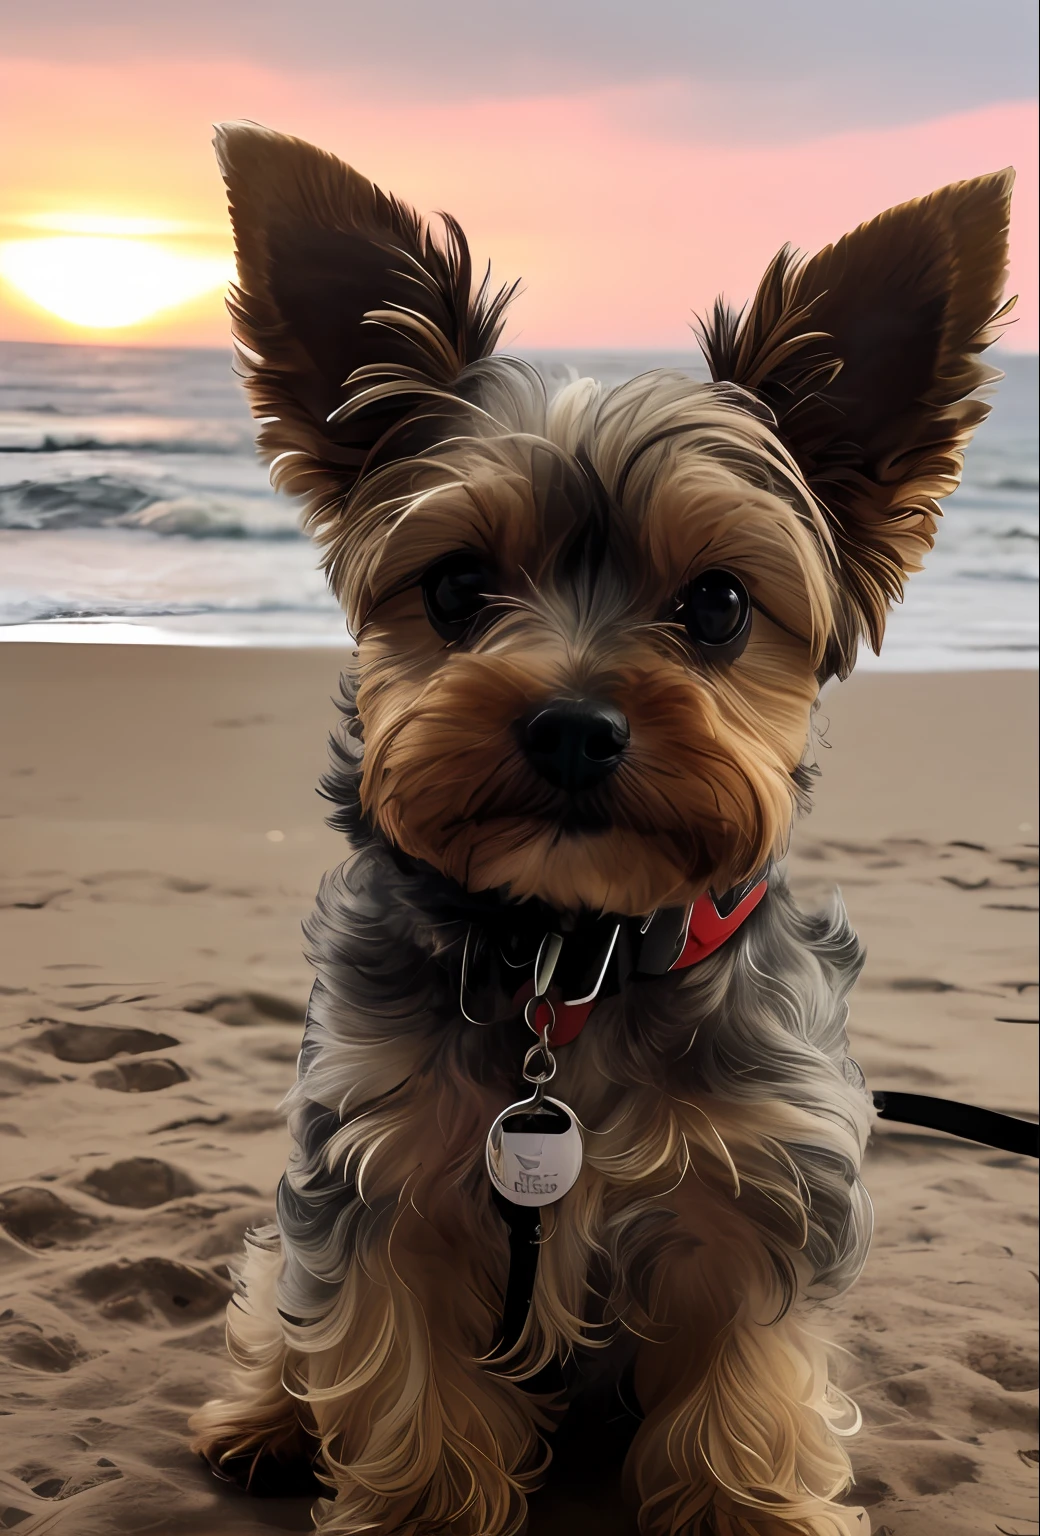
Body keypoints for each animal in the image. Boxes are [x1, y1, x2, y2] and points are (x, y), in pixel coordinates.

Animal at [190, 122, 1007, 1536]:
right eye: (457, 585)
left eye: (719, 604)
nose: (572, 727)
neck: (570, 957)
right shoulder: (381, 1174)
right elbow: (395, 1373)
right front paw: (414, 1505)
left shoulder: (758, 1186)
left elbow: (744, 1387)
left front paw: (755, 1505)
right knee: (278, 1302)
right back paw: (263, 1418)